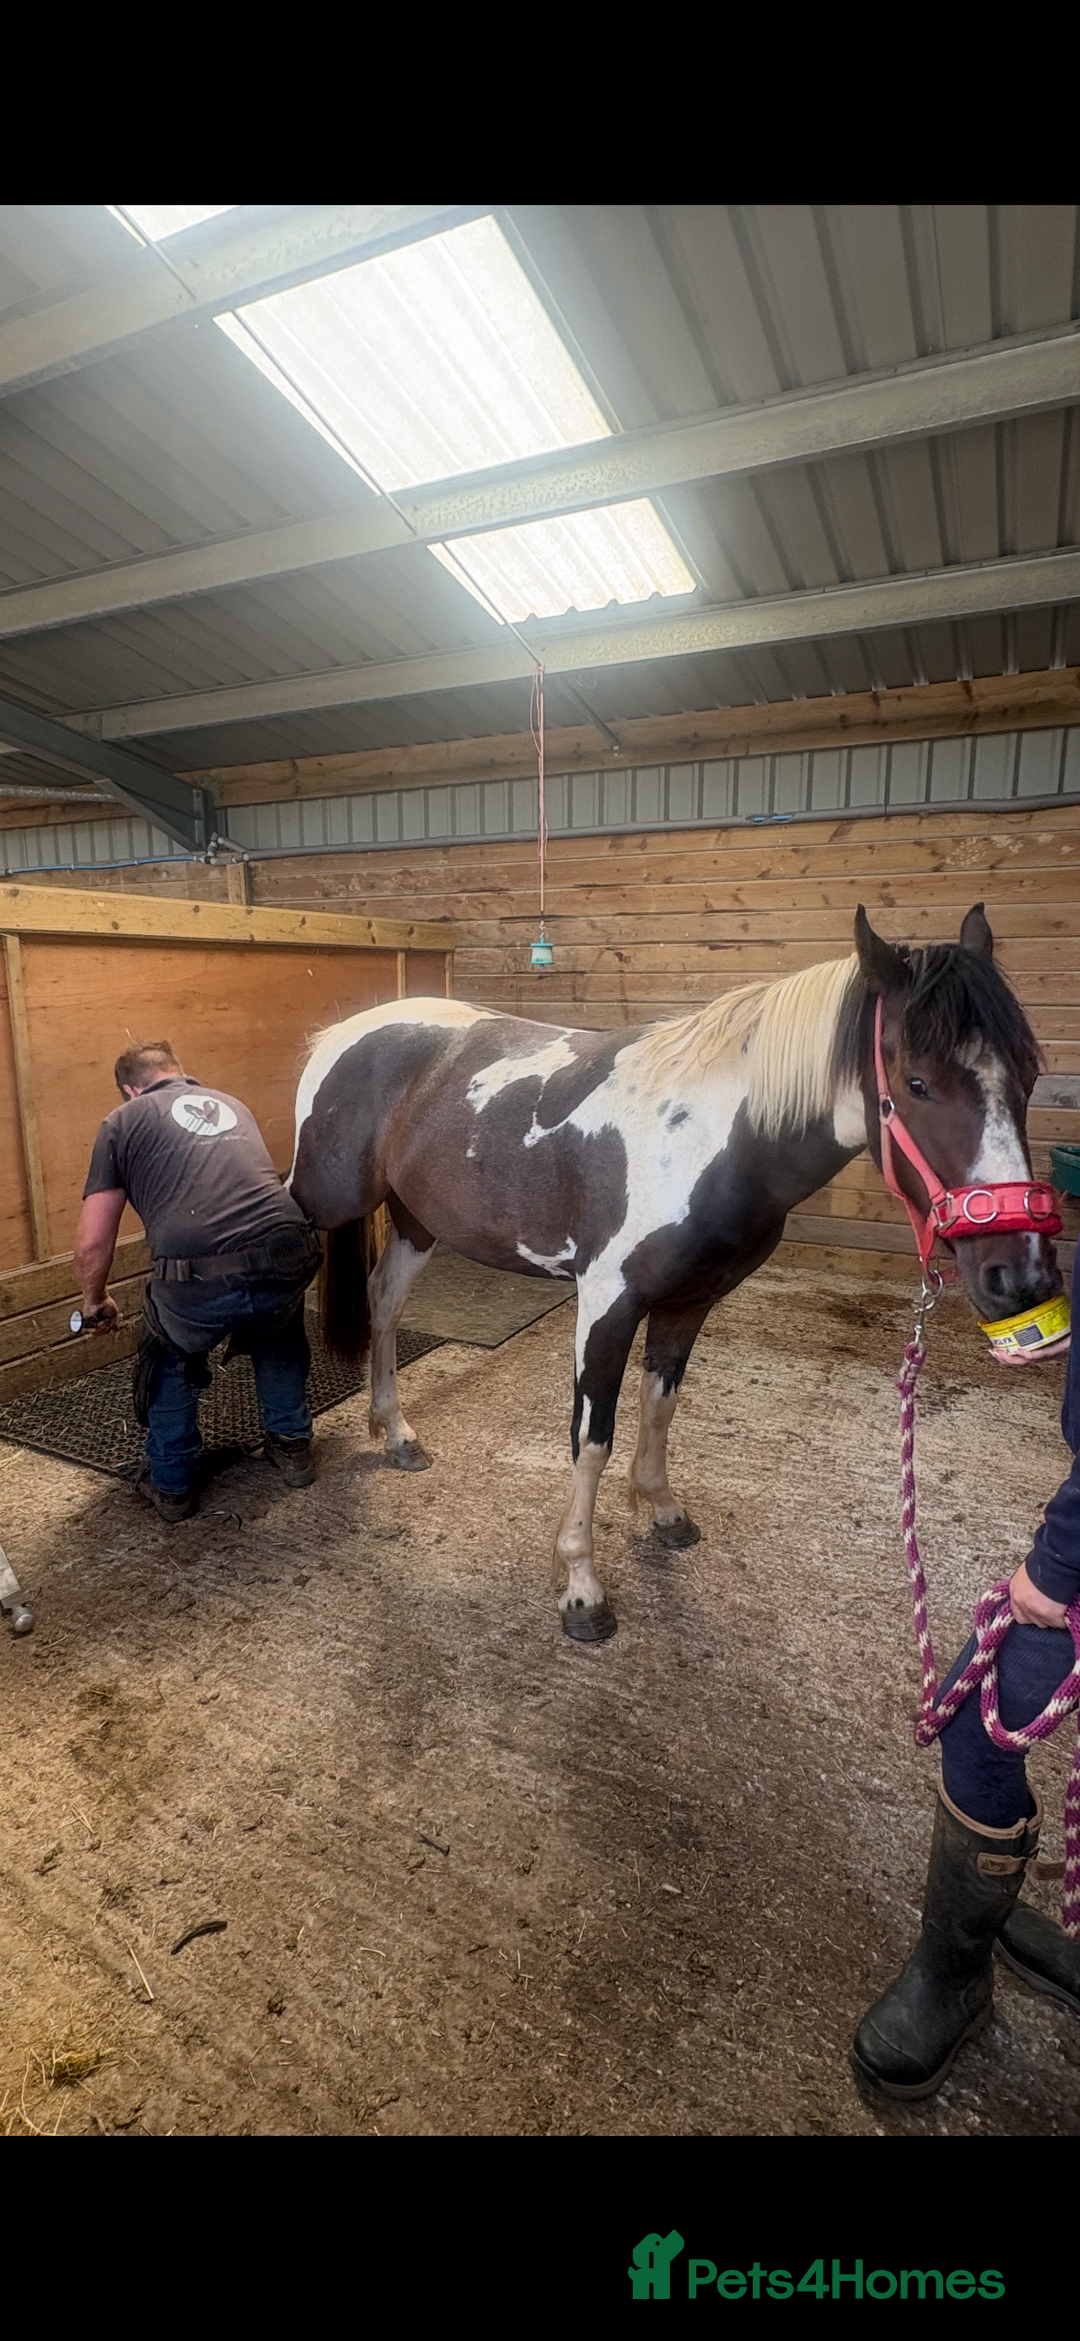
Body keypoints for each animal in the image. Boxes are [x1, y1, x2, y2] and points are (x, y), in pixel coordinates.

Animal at [289, 903, 1061, 1642]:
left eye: (1027, 1075)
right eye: (917, 1082)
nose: (1020, 1275)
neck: (709, 1139)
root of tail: (340, 1035)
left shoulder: (690, 1302)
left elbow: (660, 1406)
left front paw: (661, 1510)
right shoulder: (606, 1303)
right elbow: (590, 1438)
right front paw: (581, 1586)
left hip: (418, 1221)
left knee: (385, 1303)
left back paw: (396, 1432)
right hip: (322, 1204)